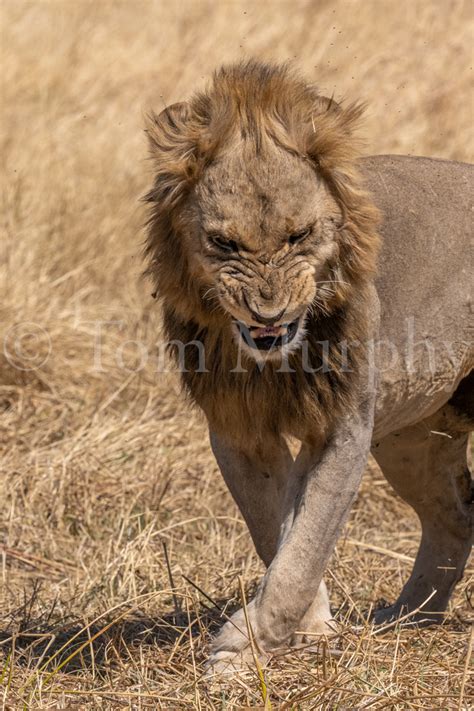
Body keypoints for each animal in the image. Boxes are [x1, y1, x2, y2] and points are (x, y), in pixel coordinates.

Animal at [143, 59, 472, 672]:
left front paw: (241, 647)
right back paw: (407, 618)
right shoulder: (239, 431)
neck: (274, 362)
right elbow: (277, 533)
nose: (267, 312)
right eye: (224, 243)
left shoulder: (343, 426)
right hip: (413, 438)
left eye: (299, 235)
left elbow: (306, 543)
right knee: (455, 517)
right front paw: (309, 630)